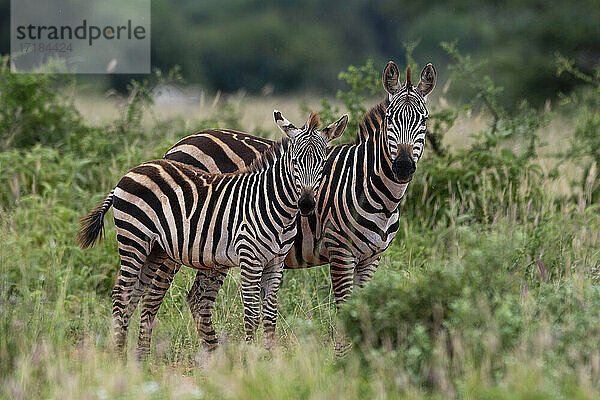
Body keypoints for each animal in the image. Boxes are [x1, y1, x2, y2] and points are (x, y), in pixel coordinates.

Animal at [76, 109, 346, 356]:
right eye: (294, 162)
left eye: (323, 163)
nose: (307, 205)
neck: (272, 204)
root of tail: (133, 171)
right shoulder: (250, 259)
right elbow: (251, 313)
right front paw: (251, 360)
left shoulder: (275, 262)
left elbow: (270, 315)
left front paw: (270, 359)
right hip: (134, 241)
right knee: (122, 296)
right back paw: (118, 359)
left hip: (154, 249)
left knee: (134, 296)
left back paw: (132, 361)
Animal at [148, 59, 436, 350]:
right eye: (390, 119)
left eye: (423, 119)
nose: (402, 167)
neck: (374, 190)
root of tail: (178, 145)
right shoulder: (340, 251)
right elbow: (345, 308)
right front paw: (343, 356)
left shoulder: (372, 258)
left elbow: (362, 309)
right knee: (158, 294)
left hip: (211, 251)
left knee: (198, 299)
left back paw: (215, 355)